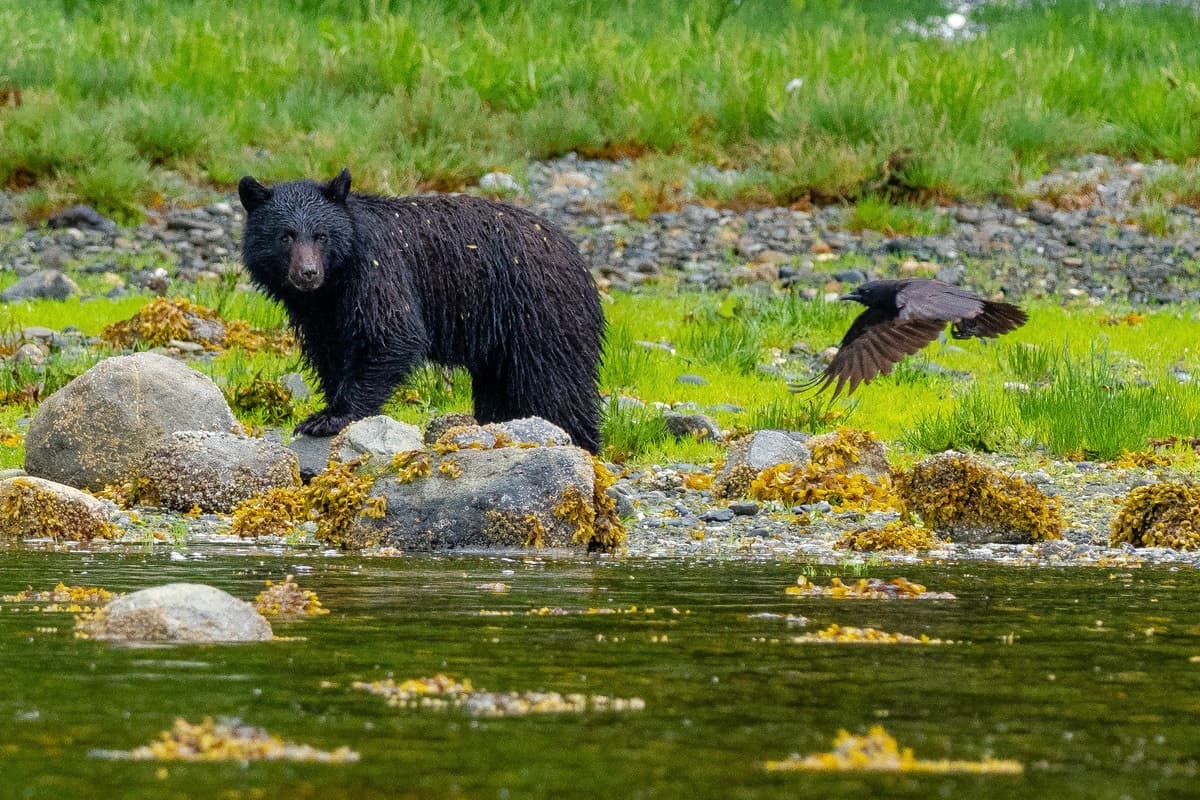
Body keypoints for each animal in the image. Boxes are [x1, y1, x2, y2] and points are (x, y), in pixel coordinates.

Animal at [238, 168, 604, 453]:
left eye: (321, 235)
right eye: (285, 236)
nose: (308, 273)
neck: (334, 283)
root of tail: (578, 258)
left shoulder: (379, 272)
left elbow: (392, 334)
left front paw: (329, 417)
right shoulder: (321, 313)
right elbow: (331, 352)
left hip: (539, 314)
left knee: (557, 385)